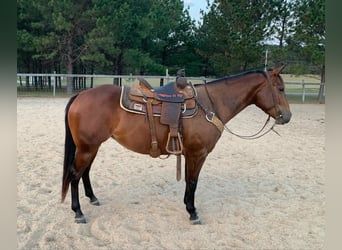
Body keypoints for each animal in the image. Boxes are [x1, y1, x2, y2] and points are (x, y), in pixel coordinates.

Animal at [61, 66, 292, 225]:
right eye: (280, 88)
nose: (287, 116)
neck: (210, 105)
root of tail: (81, 95)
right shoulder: (198, 154)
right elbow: (193, 181)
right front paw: (193, 212)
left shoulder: (190, 154)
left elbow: (189, 181)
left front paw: (188, 207)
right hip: (87, 147)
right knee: (74, 174)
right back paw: (78, 212)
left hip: (92, 147)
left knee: (85, 172)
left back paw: (92, 198)